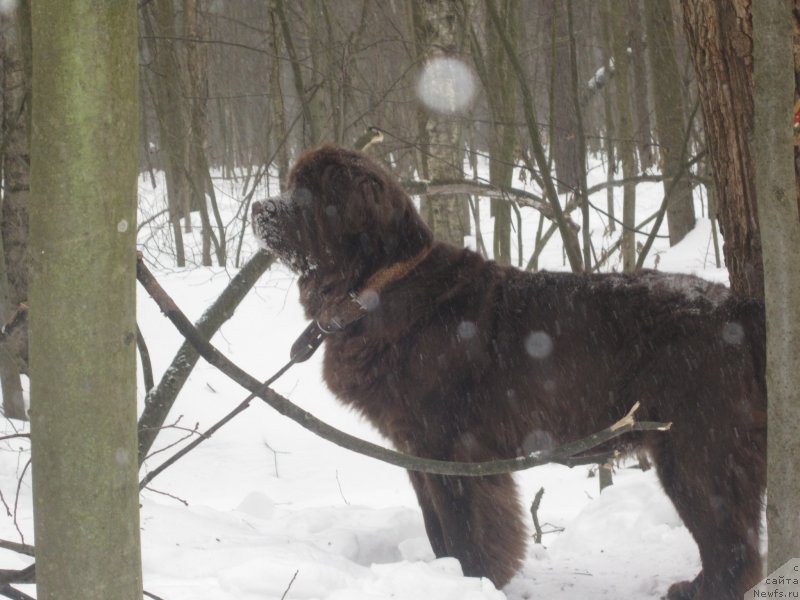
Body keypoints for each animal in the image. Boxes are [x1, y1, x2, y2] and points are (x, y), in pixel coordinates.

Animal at [253, 146, 764, 600]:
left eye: (308, 195)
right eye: (288, 184)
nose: (259, 207)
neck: (377, 289)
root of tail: (736, 308)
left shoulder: (450, 448)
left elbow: (463, 527)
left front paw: (472, 580)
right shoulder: (414, 450)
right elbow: (436, 528)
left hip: (696, 445)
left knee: (731, 544)